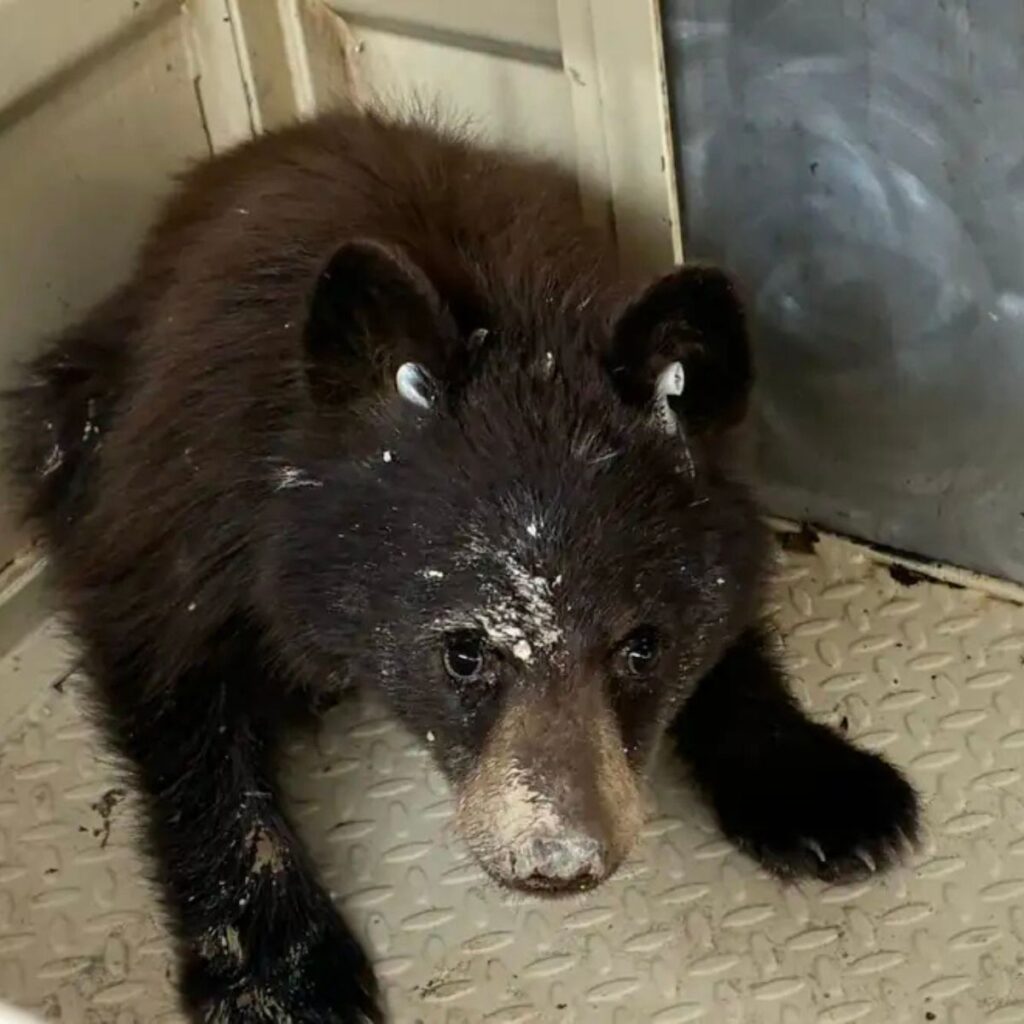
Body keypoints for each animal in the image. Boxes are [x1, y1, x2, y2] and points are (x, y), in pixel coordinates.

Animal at [5, 109, 919, 1023]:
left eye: (643, 646)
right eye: (463, 651)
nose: (558, 861)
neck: (511, 312)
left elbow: (729, 617)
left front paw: (826, 793)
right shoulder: (189, 502)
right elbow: (173, 689)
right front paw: (282, 973)